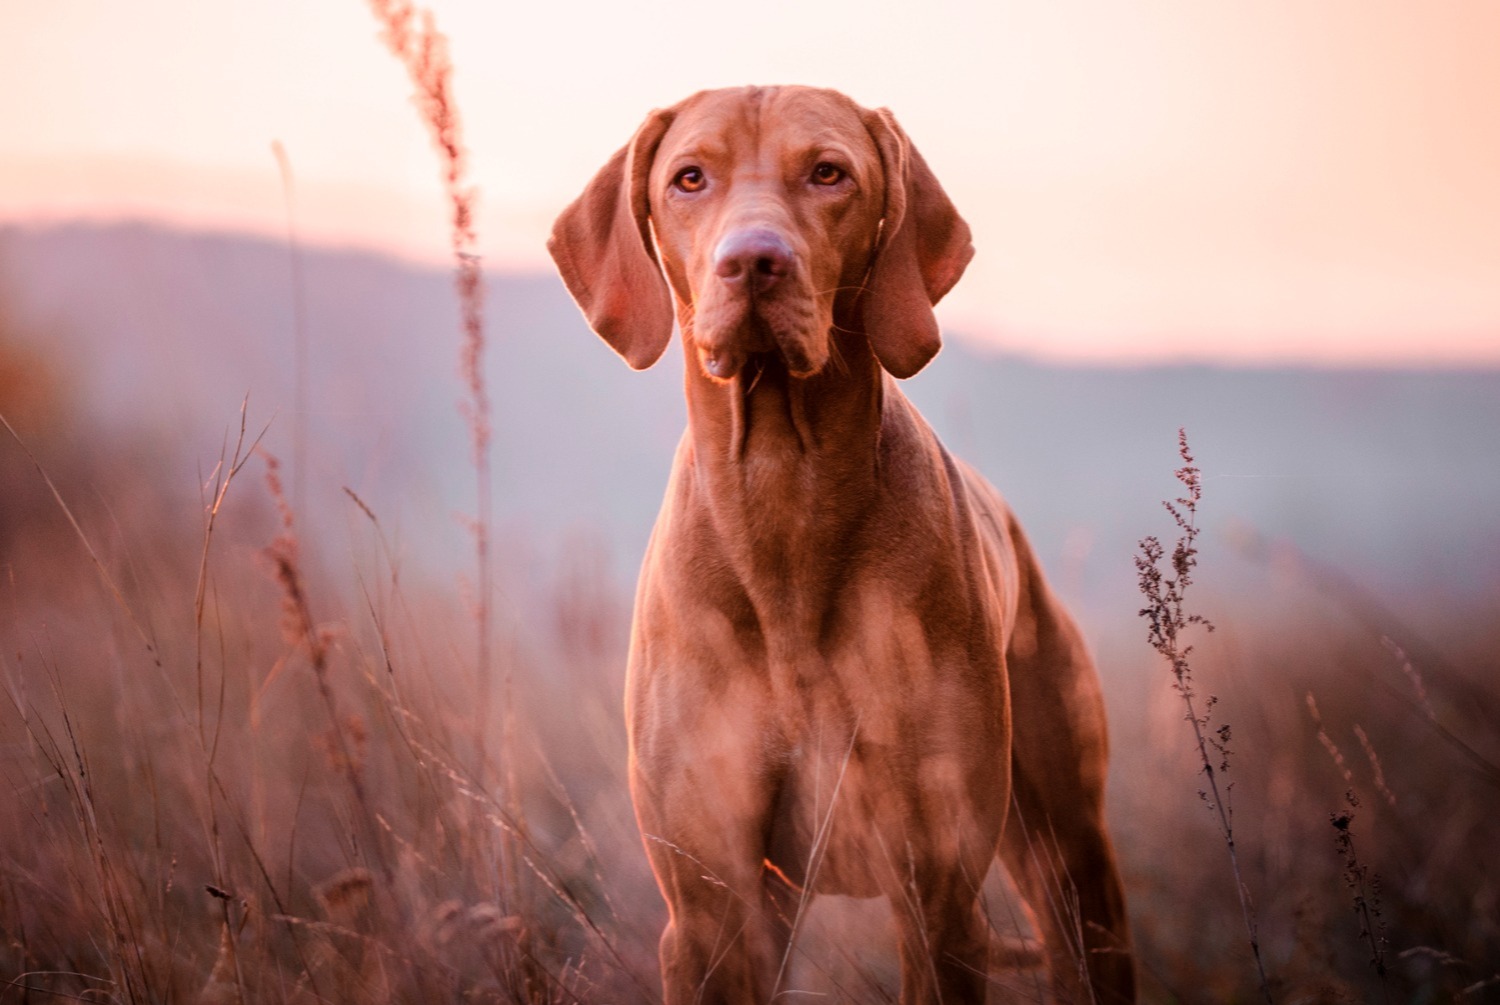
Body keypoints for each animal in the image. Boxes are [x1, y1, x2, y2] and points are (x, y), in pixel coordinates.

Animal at [552, 88, 1134, 1005]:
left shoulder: (938, 897)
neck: (783, 498)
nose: (754, 262)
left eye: (829, 174)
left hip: (1074, 864)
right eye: (689, 178)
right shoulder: (711, 908)